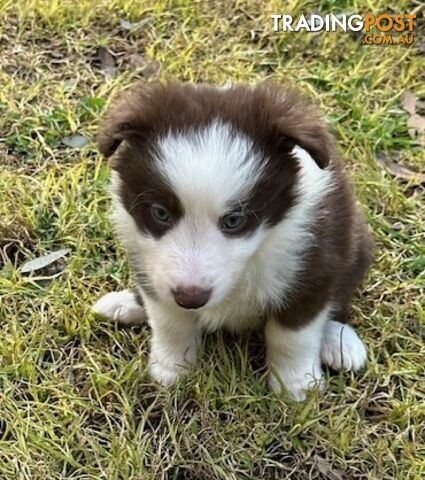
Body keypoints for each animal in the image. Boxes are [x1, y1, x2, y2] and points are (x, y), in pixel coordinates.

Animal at [93, 80, 372, 400]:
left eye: (235, 220)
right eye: (160, 213)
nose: (191, 298)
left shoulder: (313, 265)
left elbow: (292, 335)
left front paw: (295, 386)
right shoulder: (150, 264)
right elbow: (169, 320)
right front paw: (172, 369)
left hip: (356, 245)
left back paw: (339, 341)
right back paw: (125, 304)